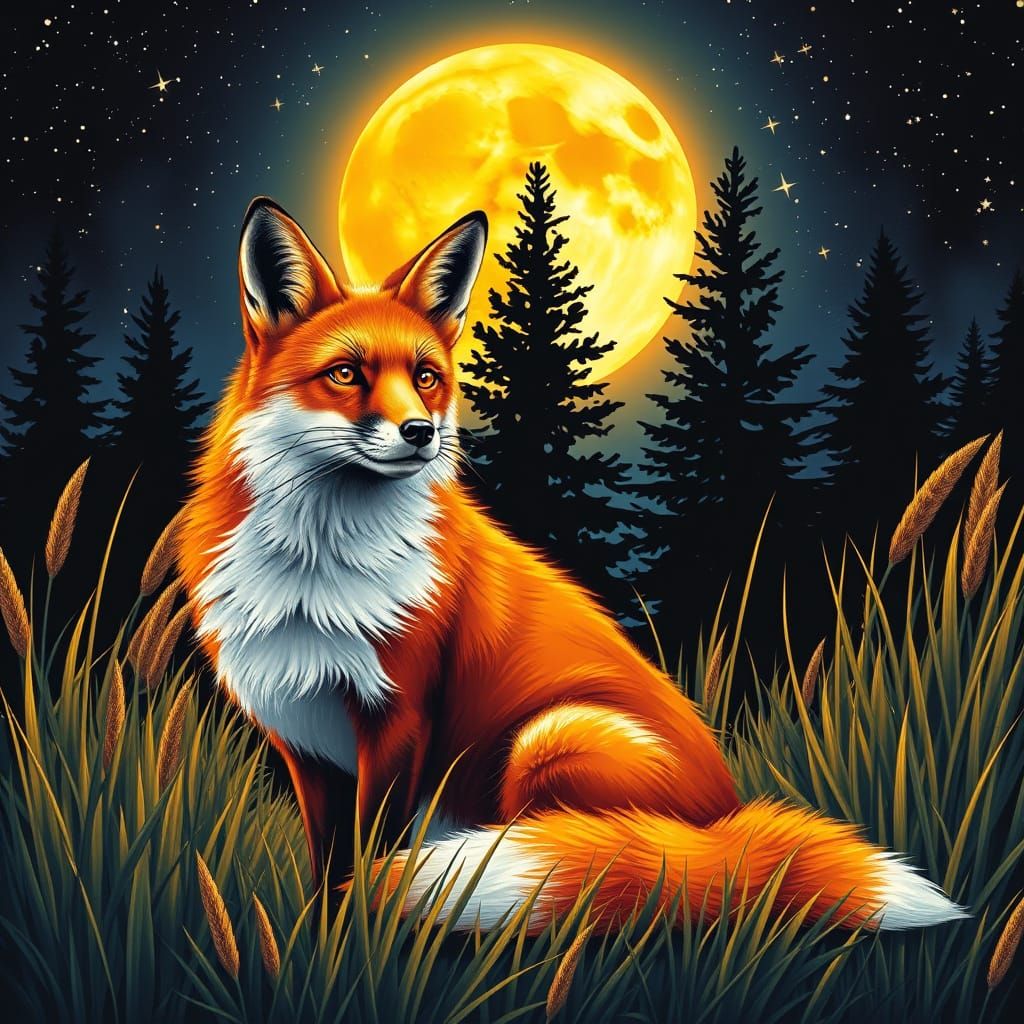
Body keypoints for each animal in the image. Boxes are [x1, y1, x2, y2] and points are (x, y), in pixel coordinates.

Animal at [178, 195, 967, 935]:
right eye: (345, 374)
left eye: (427, 377)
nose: (420, 433)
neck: (318, 572)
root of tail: (726, 835)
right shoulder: (304, 742)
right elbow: (325, 863)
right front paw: (318, 939)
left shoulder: (398, 722)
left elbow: (369, 856)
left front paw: (361, 940)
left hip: (548, 740)